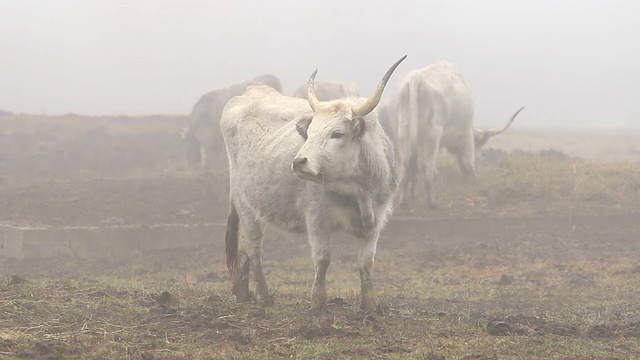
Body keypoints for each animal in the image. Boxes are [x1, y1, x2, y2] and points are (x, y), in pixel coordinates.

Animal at [220, 54, 408, 310]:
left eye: (336, 134)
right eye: (309, 134)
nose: (299, 161)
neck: (360, 191)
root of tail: (247, 94)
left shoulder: (375, 222)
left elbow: (366, 262)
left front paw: (370, 305)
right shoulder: (317, 218)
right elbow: (323, 258)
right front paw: (317, 301)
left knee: (245, 252)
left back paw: (242, 292)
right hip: (246, 206)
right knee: (253, 248)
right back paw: (263, 294)